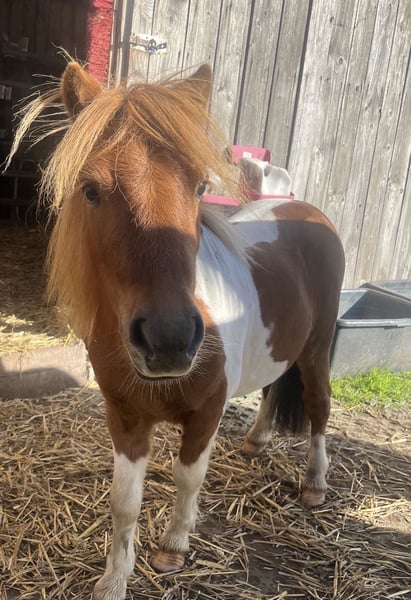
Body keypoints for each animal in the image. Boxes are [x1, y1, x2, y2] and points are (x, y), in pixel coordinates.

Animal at [9, 62, 345, 600]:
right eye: (91, 189)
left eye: (200, 187)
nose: (169, 342)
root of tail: (303, 209)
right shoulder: (125, 420)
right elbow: (124, 501)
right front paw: (114, 579)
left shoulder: (206, 413)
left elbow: (188, 478)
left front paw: (172, 547)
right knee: (273, 388)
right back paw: (255, 442)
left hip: (315, 351)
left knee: (318, 406)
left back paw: (314, 484)